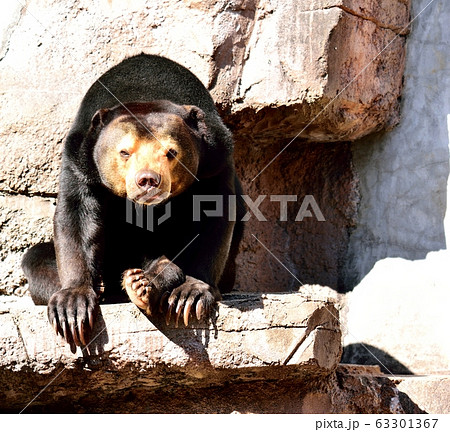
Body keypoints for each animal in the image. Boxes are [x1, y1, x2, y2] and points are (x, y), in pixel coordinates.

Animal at [22, 54, 243, 352]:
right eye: (124, 152)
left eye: (171, 152)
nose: (148, 180)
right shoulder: (80, 160)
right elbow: (77, 216)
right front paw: (72, 307)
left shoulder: (215, 159)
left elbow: (214, 217)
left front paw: (190, 295)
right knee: (35, 259)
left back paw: (149, 281)